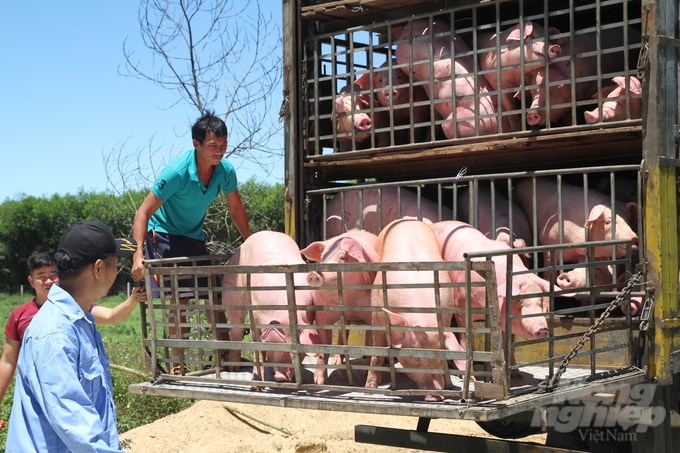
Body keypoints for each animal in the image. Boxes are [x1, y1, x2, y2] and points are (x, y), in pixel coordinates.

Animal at [220, 230, 322, 382]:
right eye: (277, 348)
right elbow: (258, 348)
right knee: (236, 329)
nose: (282, 377)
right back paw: (233, 369)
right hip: (232, 291)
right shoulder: (255, 317)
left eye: (298, 353)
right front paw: (258, 379)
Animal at [300, 230, 380, 384]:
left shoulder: (370, 314)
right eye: (322, 258)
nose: (314, 273)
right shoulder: (322, 314)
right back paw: (336, 362)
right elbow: (324, 347)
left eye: (343, 257)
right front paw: (319, 381)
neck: (347, 301)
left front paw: (366, 375)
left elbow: (370, 344)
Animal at [364, 219, 464, 400]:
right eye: (417, 358)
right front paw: (369, 390)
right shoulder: (377, 314)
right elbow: (377, 355)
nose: (435, 396)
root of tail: (407, 219)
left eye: (441, 358)